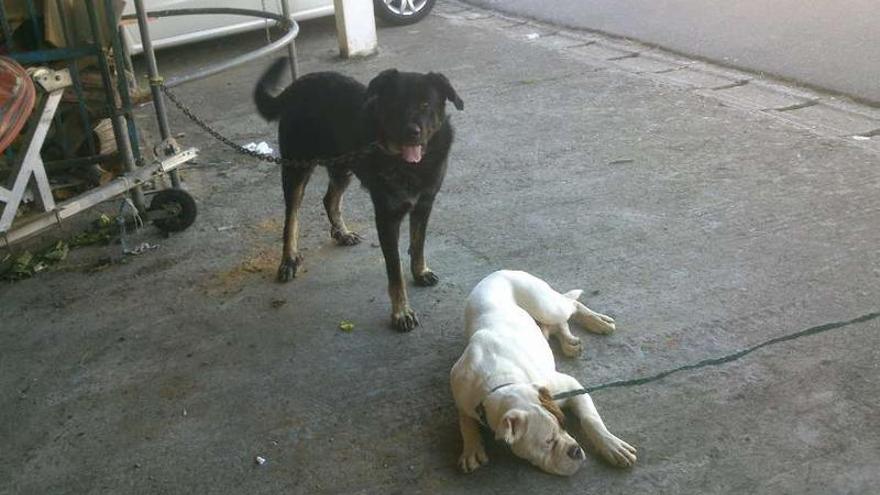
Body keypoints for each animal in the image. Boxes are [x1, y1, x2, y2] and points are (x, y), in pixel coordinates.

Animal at [253, 59, 464, 334]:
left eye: (425, 104)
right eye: (396, 104)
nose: (412, 131)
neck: (407, 165)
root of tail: (298, 84)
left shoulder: (424, 204)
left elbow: (418, 245)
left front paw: (420, 272)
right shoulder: (386, 217)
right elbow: (394, 271)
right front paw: (401, 312)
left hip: (342, 165)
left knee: (329, 199)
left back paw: (342, 233)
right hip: (296, 169)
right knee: (291, 218)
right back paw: (289, 259)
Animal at [454, 272, 632, 476]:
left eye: (564, 423)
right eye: (548, 442)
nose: (575, 450)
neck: (498, 384)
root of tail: (498, 272)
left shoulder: (570, 386)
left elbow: (590, 419)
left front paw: (611, 445)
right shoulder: (463, 396)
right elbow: (465, 421)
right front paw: (471, 448)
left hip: (547, 306)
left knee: (571, 305)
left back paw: (597, 321)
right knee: (556, 324)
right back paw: (570, 343)